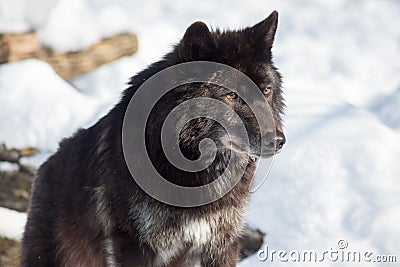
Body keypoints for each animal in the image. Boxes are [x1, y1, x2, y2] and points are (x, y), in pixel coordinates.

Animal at [21, 11, 284, 267]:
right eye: (232, 95)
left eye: (266, 90)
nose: (279, 140)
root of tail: (44, 168)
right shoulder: (132, 245)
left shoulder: (222, 243)